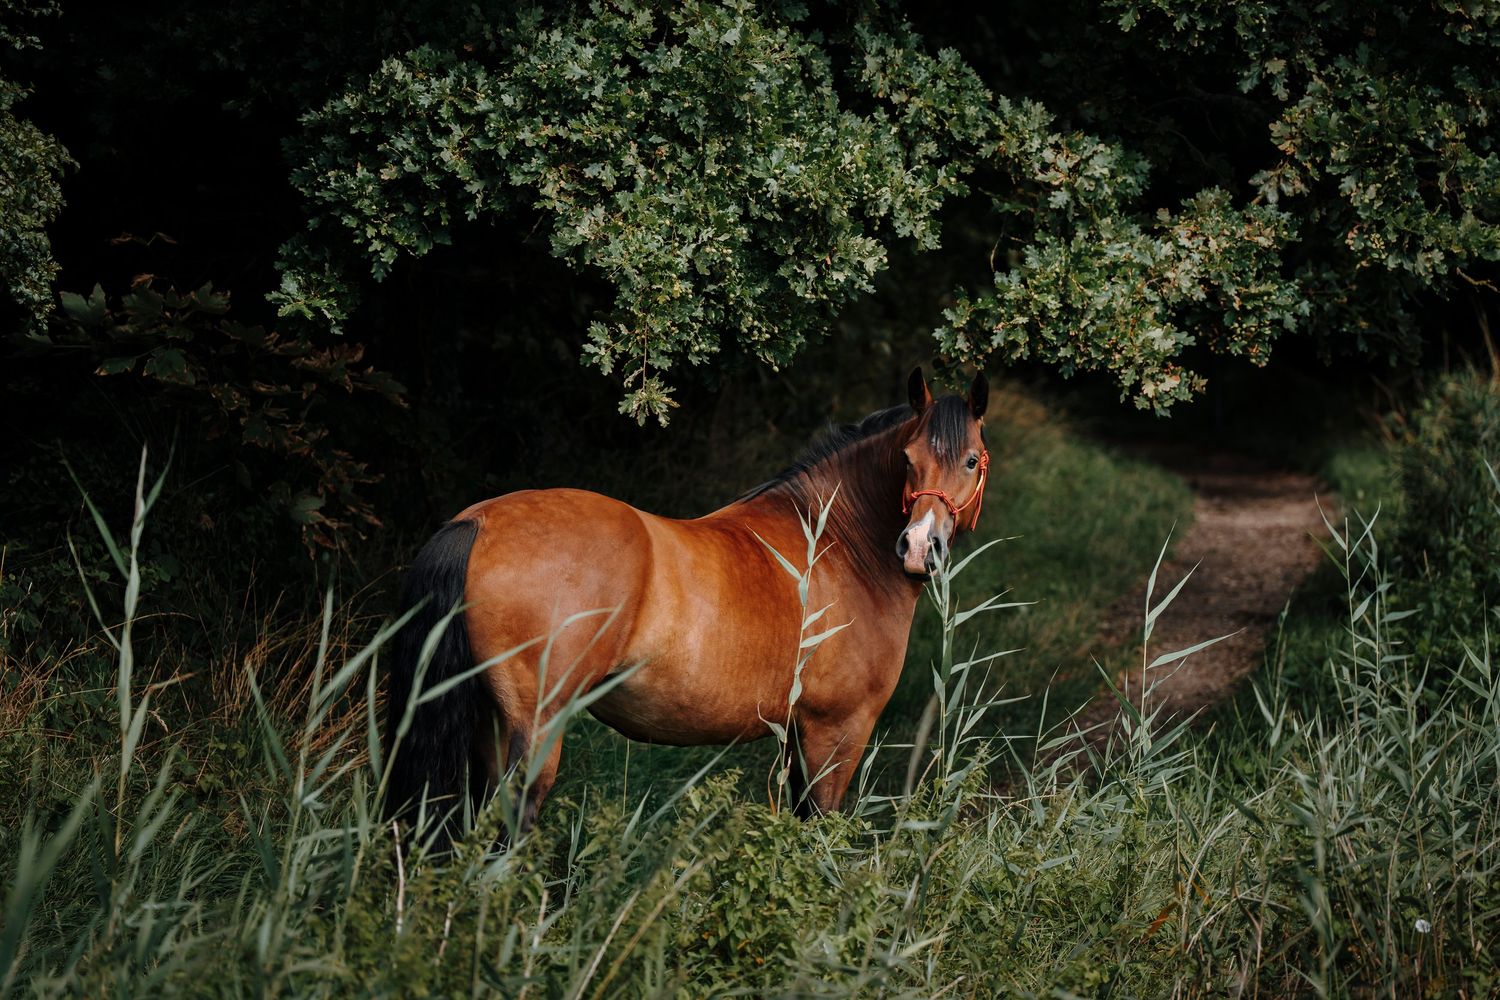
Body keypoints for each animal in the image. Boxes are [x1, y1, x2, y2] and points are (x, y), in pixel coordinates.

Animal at [383, 367, 991, 844]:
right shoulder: (838, 733)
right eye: (908, 459)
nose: (919, 548)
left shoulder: (799, 737)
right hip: (535, 731)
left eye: (970, 461)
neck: (835, 541)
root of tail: (477, 522)